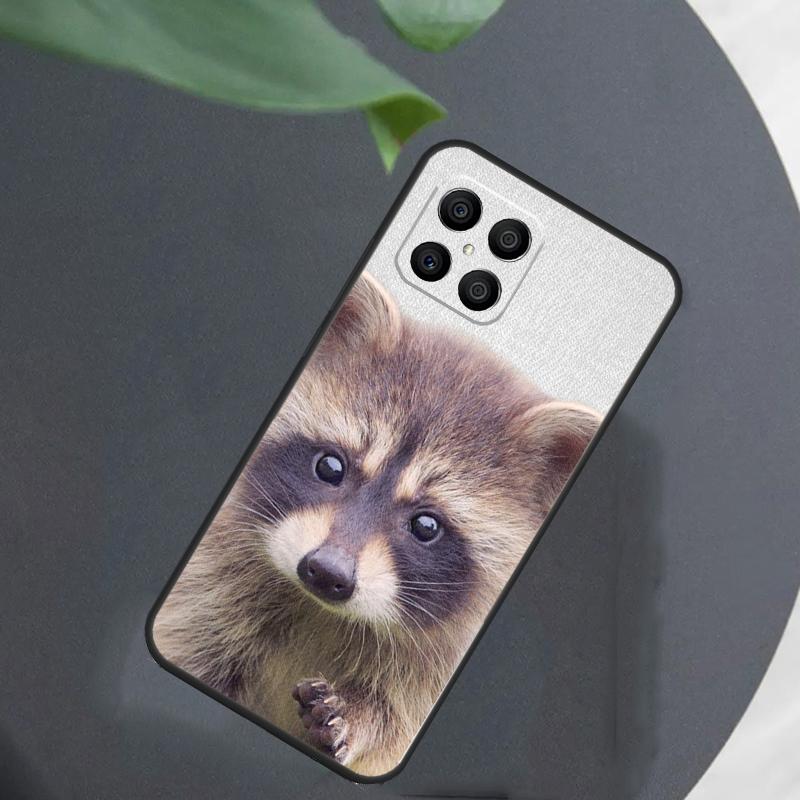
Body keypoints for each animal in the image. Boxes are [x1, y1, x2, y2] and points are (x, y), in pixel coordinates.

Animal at [152, 273, 600, 776]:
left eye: (426, 526)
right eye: (330, 466)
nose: (326, 572)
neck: (324, 612)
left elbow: (391, 720)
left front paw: (361, 716)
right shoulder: (212, 587)